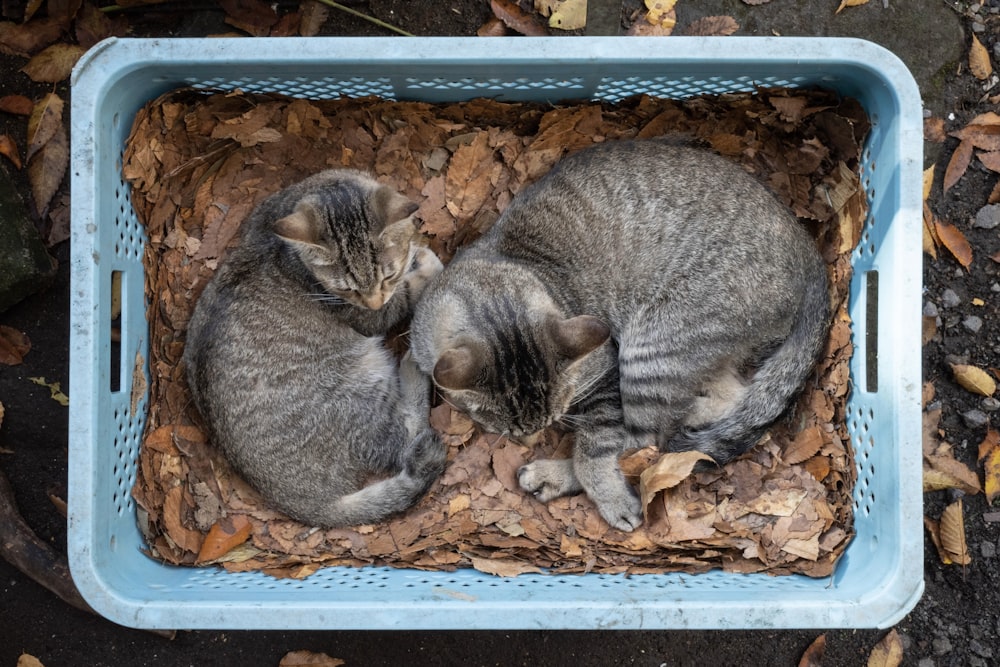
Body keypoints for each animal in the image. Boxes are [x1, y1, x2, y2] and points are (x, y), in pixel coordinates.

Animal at [183, 170, 446, 528]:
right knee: (407, 433)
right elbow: (407, 292)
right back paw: (413, 368)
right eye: (346, 289)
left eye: (386, 274)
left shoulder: (266, 212)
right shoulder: (369, 317)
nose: (373, 299)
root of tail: (303, 504)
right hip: (360, 390)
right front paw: (425, 260)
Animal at [406, 140, 828, 532]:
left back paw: (555, 474)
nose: (532, 439)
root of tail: (810, 254)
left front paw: (608, 494)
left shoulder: (606, 369)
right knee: (727, 397)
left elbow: (596, 448)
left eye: (547, 421)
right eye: (507, 431)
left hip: (654, 347)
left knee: (649, 442)